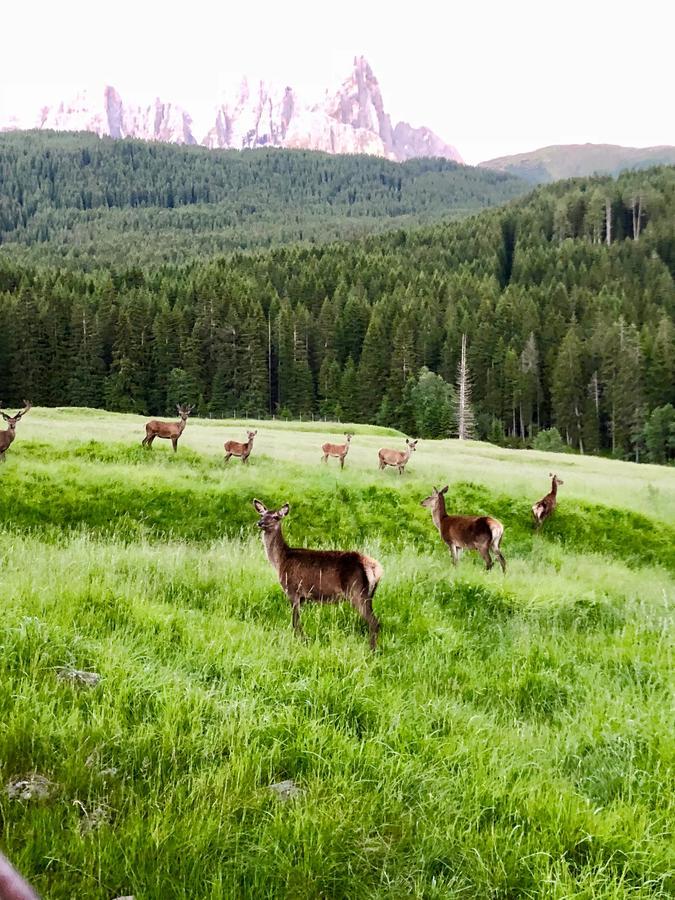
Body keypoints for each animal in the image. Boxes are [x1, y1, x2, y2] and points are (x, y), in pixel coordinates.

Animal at [254, 500, 382, 648]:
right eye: (262, 514)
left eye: (276, 516)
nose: (260, 523)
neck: (281, 560)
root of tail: (375, 568)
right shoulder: (303, 598)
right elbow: (298, 621)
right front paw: (303, 640)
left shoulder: (292, 590)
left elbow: (295, 622)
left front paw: (299, 642)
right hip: (368, 594)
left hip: (356, 590)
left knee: (374, 622)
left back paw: (372, 650)